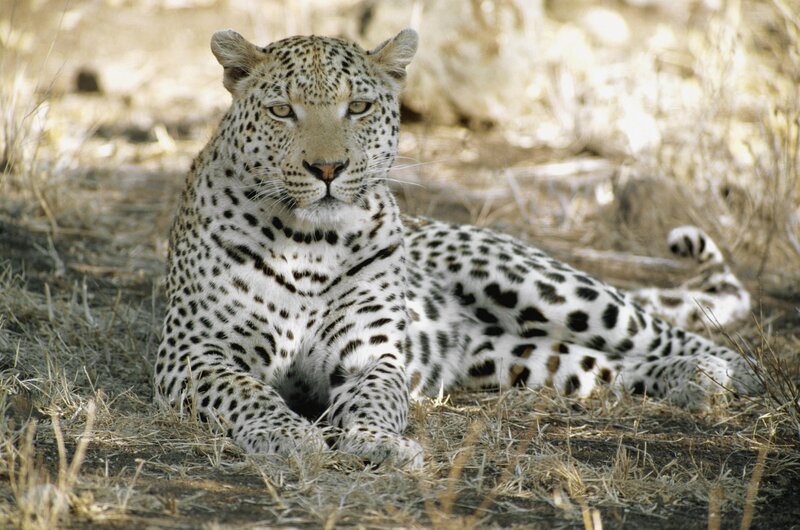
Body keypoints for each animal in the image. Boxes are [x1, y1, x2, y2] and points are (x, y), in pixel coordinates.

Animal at [155, 28, 757, 469]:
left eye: (359, 107)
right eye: (282, 111)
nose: (328, 169)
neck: (310, 243)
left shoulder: (373, 356)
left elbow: (378, 398)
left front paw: (376, 442)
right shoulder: (193, 353)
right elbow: (247, 392)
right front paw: (289, 436)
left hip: (542, 286)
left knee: (660, 330)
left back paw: (725, 374)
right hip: (515, 358)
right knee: (608, 366)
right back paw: (691, 380)